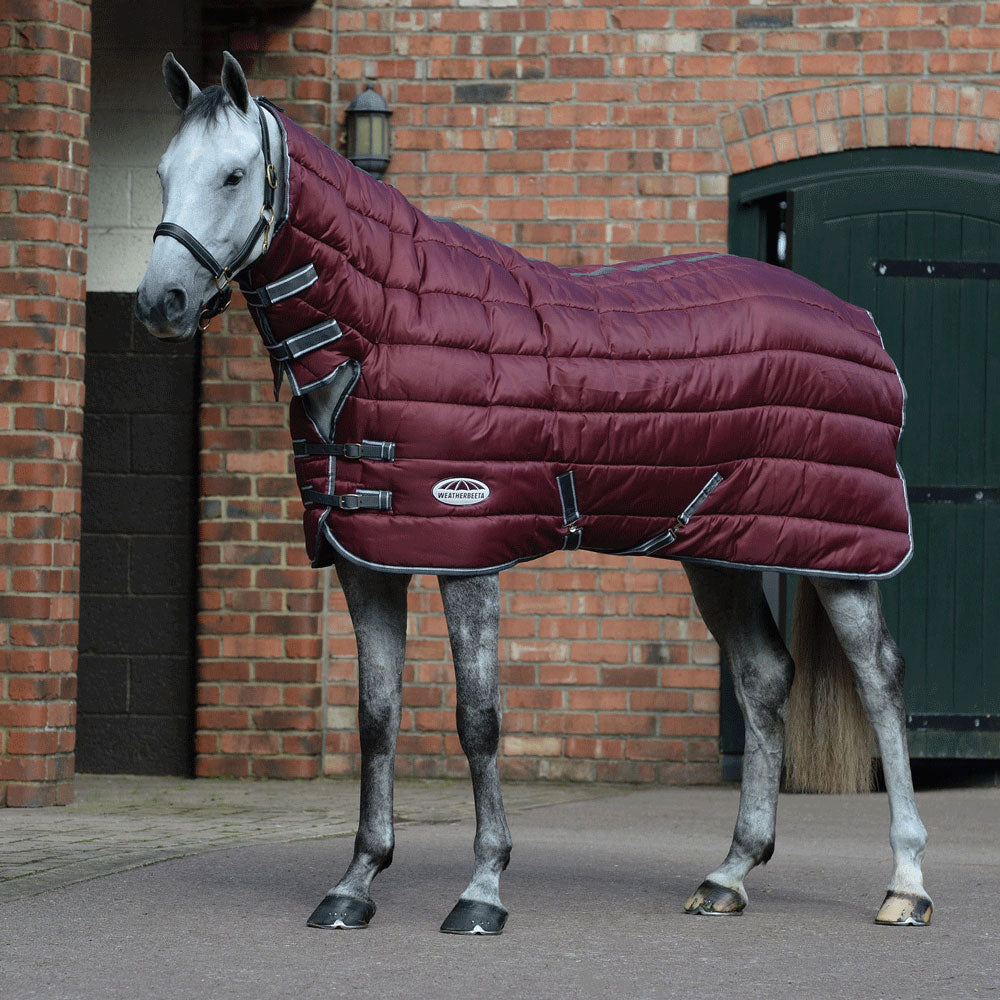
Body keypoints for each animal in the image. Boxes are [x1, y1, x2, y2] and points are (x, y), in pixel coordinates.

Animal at [135, 52, 936, 928]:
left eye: (234, 174)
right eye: (162, 173)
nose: (160, 303)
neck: (380, 328)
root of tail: (862, 323)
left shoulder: (467, 550)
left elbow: (477, 718)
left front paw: (482, 889)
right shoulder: (366, 559)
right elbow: (377, 718)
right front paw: (355, 884)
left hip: (841, 555)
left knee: (882, 681)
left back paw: (906, 884)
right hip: (716, 547)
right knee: (764, 676)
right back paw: (729, 875)